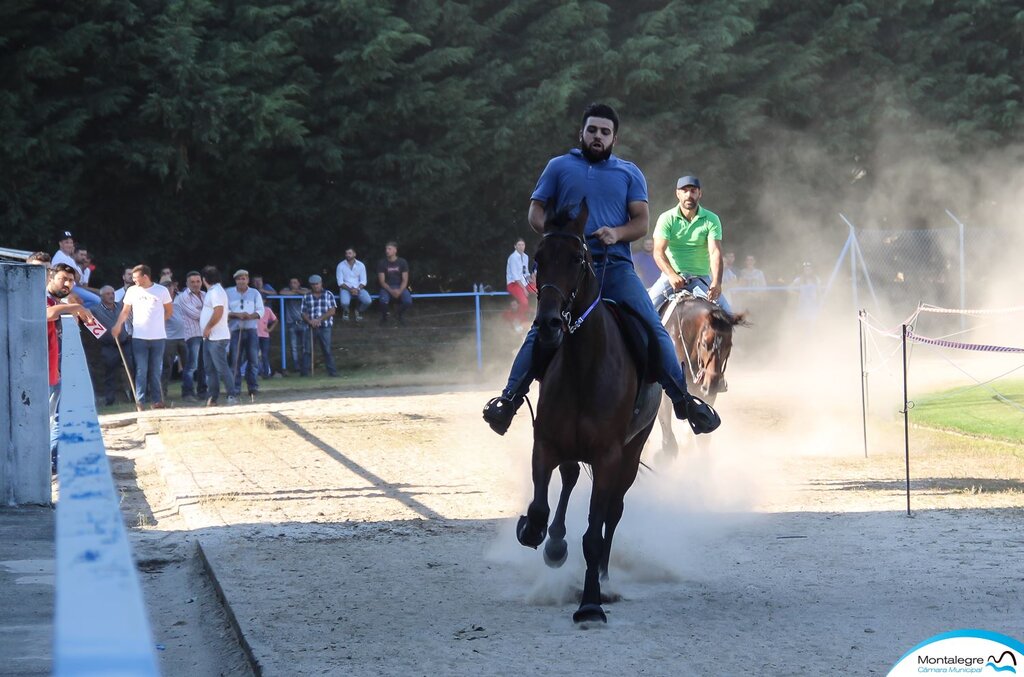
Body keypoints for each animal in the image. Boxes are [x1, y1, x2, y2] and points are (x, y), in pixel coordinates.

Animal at [516, 200, 659, 622]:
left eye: (578, 259)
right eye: (538, 257)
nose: (548, 323)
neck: (585, 365)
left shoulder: (609, 456)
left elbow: (595, 534)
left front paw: (591, 602)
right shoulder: (545, 444)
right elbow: (539, 506)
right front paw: (541, 536)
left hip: (631, 453)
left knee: (613, 512)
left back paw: (606, 579)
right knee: (568, 481)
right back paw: (555, 544)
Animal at [655, 294, 745, 456]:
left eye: (729, 345)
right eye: (704, 343)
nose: (712, 384)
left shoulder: (706, 395)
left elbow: (702, 438)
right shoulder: (665, 395)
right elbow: (669, 439)